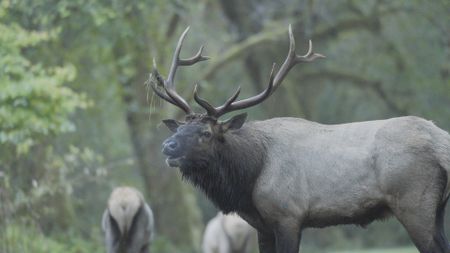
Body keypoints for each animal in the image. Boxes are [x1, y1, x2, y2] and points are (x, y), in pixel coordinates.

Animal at [150, 25, 450, 253]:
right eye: (176, 130)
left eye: (206, 133)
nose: (167, 146)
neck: (249, 178)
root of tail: (440, 140)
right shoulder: (262, 226)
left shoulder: (288, 216)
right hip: (437, 208)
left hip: (413, 202)